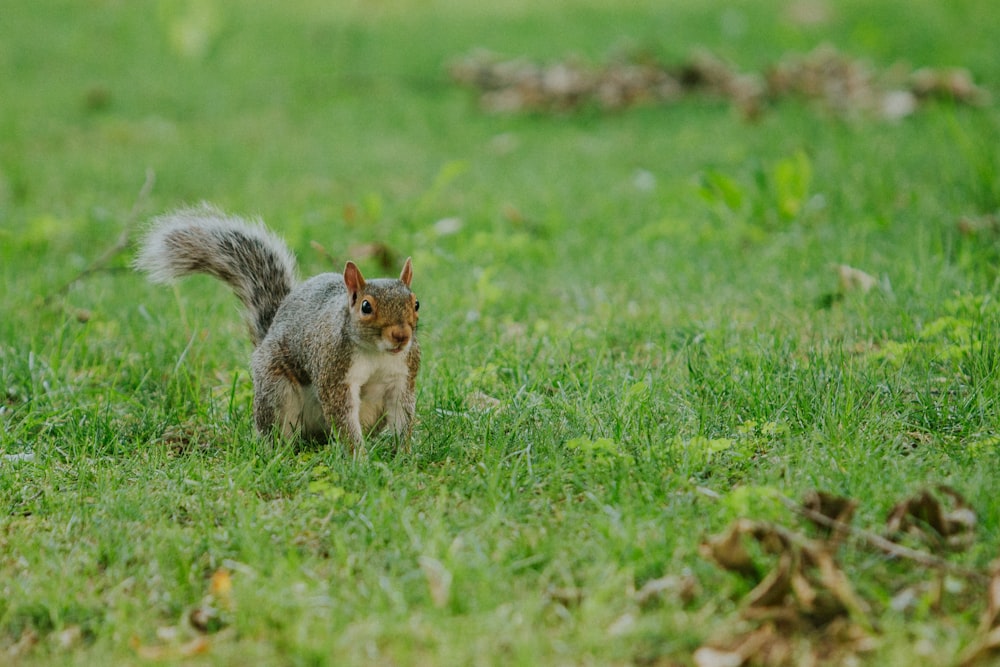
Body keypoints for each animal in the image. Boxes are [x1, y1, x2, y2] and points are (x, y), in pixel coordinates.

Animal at [132, 204, 418, 454]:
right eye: (366, 307)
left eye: (416, 303)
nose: (401, 336)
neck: (377, 353)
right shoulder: (334, 371)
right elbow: (344, 418)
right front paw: (358, 459)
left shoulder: (403, 377)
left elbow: (403, 416)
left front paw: (402, 455)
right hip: (277, 391)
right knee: (277, 431)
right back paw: (282, 452)